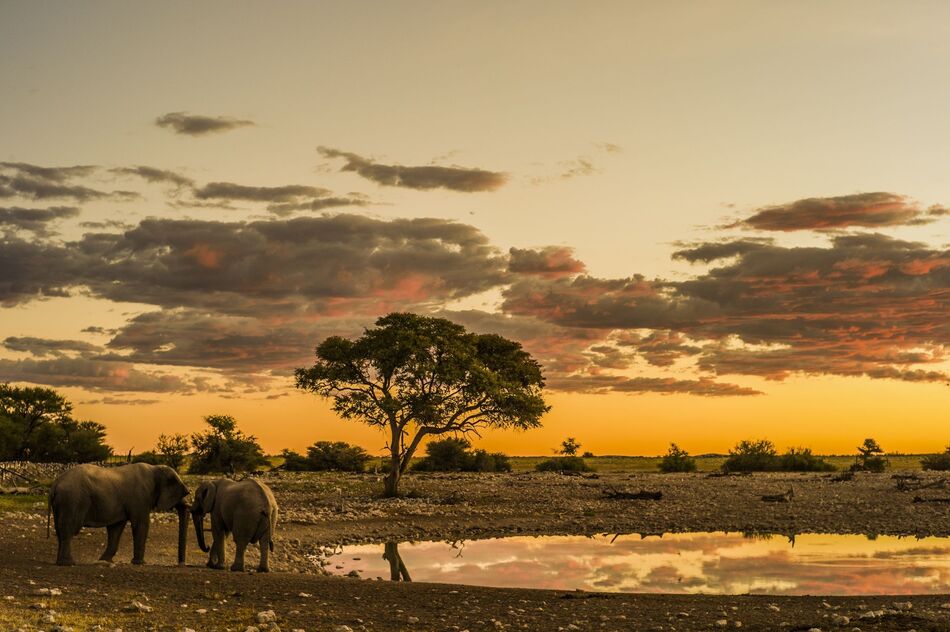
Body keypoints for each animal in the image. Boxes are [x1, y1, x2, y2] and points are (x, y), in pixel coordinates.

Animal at [48, 460, 190, 568]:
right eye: (183, 494)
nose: (181, 564)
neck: (155, 468)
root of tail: (55, 483)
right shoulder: (140, 498)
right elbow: (141, 524)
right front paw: (139, 563)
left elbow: (116, 528)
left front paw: (105, 561)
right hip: (72, 499)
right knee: (68, 529)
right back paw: (68, 563)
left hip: (63, 502)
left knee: (59, 530)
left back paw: (60, 562)